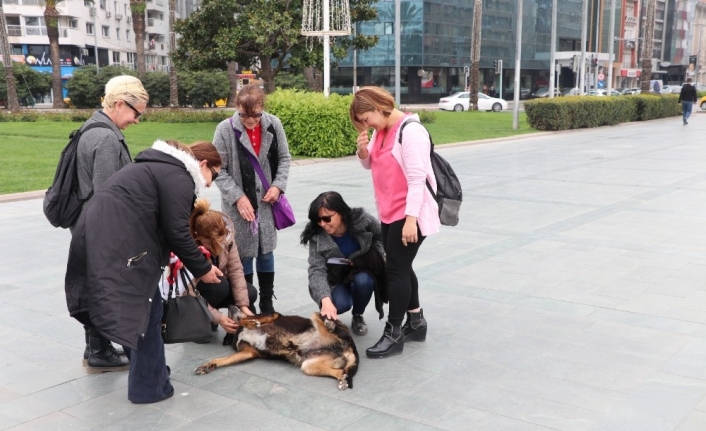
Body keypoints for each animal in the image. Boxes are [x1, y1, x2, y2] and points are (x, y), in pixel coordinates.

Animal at [192, 308, 358, 392]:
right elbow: (221, 360)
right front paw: (207, 366)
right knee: (340, 371)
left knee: (330, 323)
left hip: (320, 318)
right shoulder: (247, 353)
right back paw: (342, 380)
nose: (231, 305)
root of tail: (348, 346)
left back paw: (330, 323)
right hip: (309, 365)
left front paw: (250, 322)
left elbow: (247, 319)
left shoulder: (273, 315)